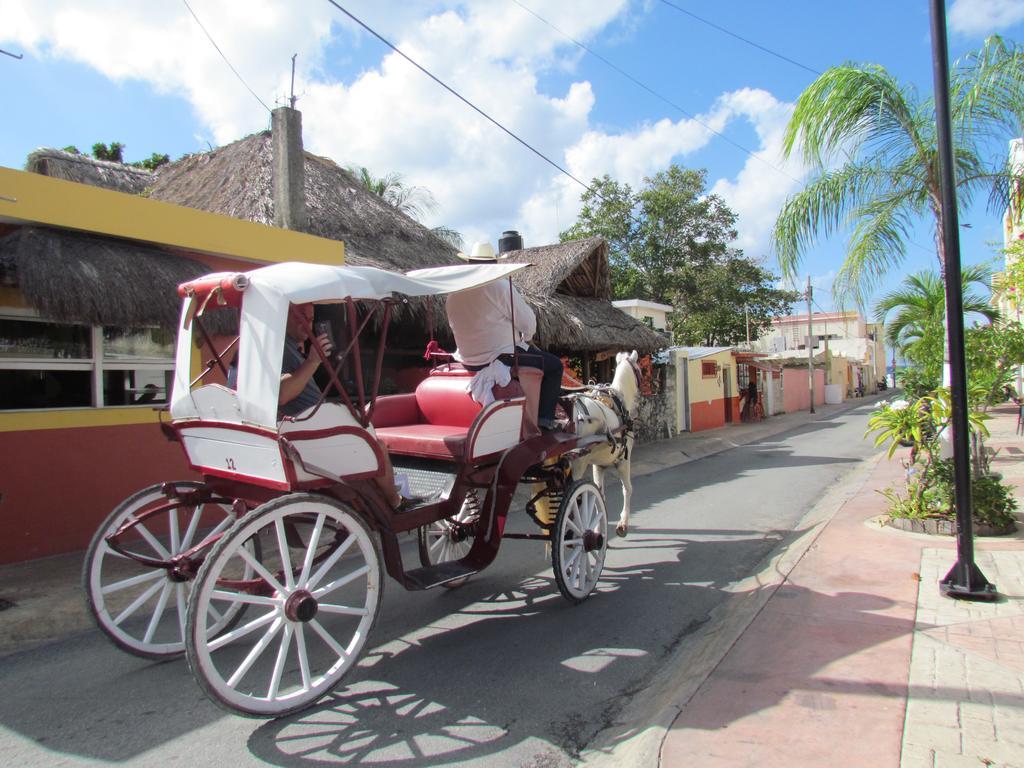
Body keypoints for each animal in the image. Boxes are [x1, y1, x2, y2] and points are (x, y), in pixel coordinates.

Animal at [573, 352, 634, 536]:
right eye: (638, 369)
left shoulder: (597, 465)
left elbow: (598, 494)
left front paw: (598, 528)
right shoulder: (624, 460)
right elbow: (627, 489)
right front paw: (622, 524)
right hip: (578, 463)